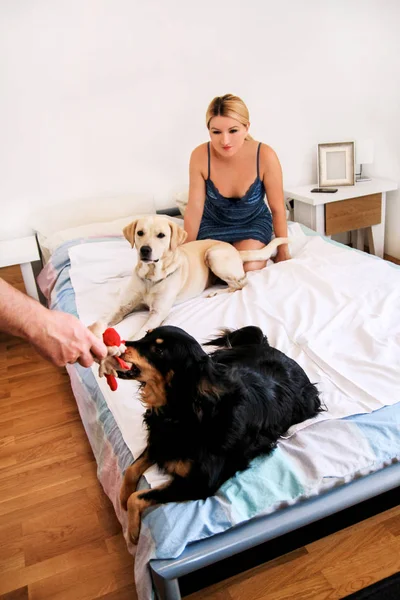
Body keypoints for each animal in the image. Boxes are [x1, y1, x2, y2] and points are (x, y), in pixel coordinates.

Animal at [118, 326, 322, 540]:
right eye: (146, 334)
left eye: (159, 351)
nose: (121, 344)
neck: (184, 411)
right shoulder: (160, 442)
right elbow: (131, 470)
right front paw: (122, 498)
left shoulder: (199, 483)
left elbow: (138, 496)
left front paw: (132, 531)